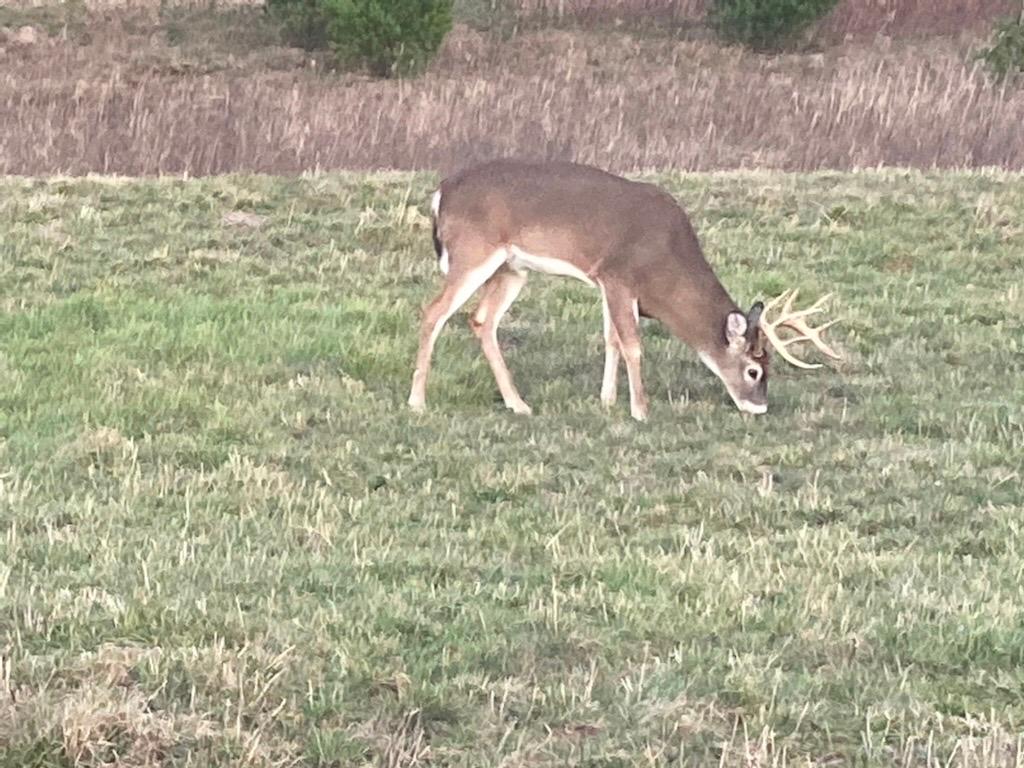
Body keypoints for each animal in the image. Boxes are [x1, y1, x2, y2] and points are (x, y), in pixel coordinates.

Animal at [408, 159, 840, 421]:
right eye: (754, 370)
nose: (759, 408)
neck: (664, 263)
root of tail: (440, 193)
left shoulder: (606, 281)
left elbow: (610, 338)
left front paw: (607, 399)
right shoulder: (619, 275)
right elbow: (632, 343)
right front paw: (640, 409)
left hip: (513, 268)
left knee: (482, 320)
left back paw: (519, 404)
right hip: (474, 252)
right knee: (434, 312)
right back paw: (417, 401)